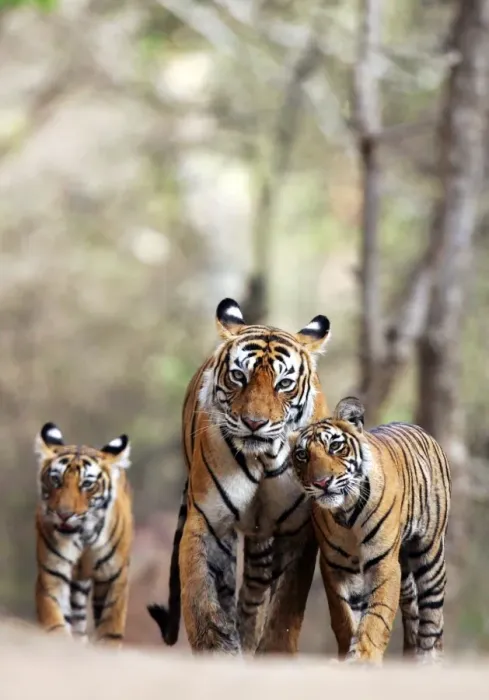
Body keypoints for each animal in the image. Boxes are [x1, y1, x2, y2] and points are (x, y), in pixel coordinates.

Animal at [35, 422, 133, 646]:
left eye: (87, 484)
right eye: (55, 480)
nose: (64, 514)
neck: (83, 536)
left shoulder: (114, 577)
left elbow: (110, 628)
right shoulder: (52, 574)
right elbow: (56, 623)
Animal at [147, 297, 331, 654]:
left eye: (284, 384)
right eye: (238, 376)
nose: (254, 423)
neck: (263, 457)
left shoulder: (298, 530)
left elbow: (286, 607)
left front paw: (274, 651)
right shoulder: (210, 522)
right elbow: (204, 599)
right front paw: (218, 648)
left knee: (255, 595)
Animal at [289, 396, 451, 664]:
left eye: (335, 446)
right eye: (302, 455)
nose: (321, 483)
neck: (346, 511)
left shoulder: (383, 562)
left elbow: (378, 614)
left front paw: (364, 655)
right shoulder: (335, 566)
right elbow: (343, 615)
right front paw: (347, 653)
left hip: (430, 553)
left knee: (432, 614)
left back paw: (428, 659)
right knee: (413, 611)